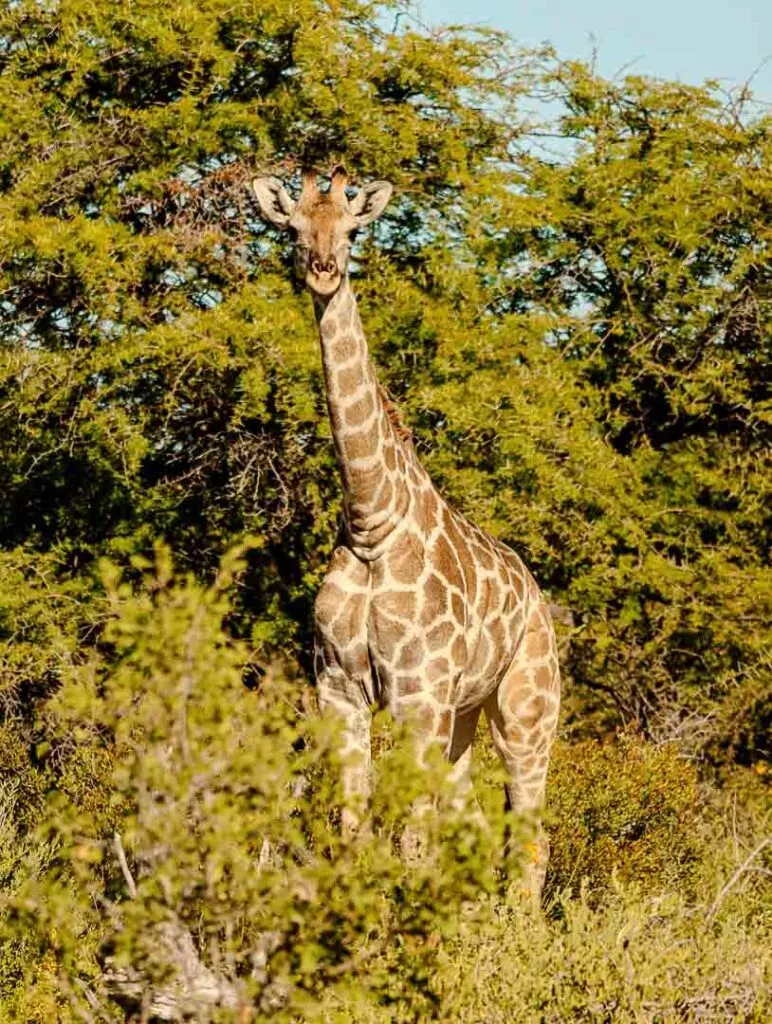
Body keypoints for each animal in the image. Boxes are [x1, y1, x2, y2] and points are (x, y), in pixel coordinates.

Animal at [252, 166, 561, 896]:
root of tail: (538, 595)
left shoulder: (417, 694)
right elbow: (352, 828)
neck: (373, 520)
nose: (323, 269)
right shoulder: (338, 689)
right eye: (293, 227)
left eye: (352, 228)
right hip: (464, 715)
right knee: (477, 825)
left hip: (527, 710)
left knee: (530, 837)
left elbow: (413, 840)